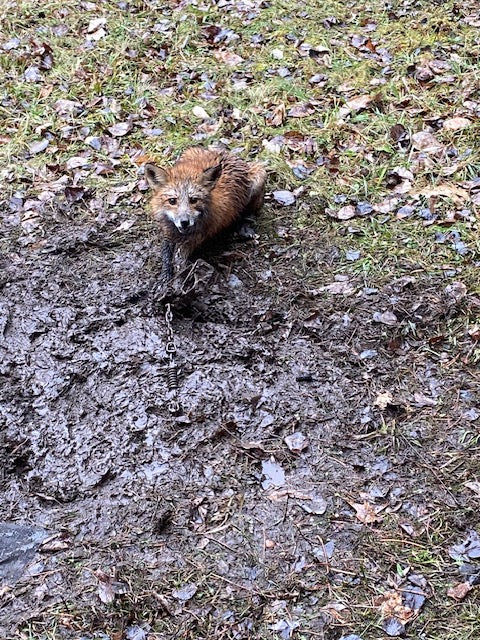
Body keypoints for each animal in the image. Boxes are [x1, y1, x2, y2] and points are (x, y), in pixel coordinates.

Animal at [144, 146, 267, 288]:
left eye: (193, 200)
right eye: (172, 201)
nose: (184, 222)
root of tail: (228, 153)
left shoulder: (198, 236)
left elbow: (180, 258)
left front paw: (180, 280)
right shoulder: (168, 232)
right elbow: (166, 254)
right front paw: (165, 276)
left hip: (259, 176)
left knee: (248, 212)